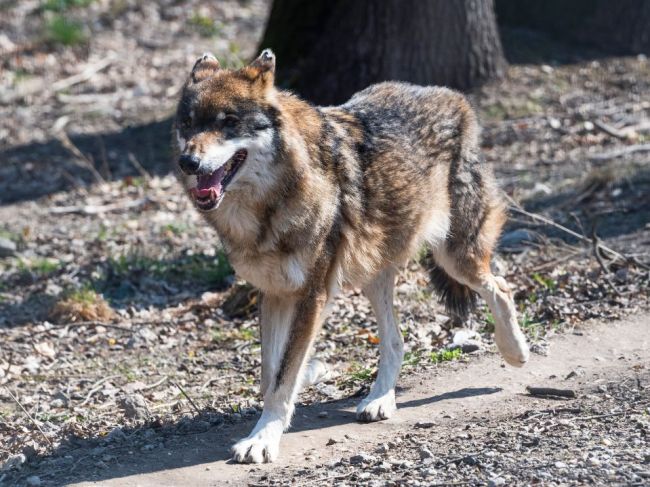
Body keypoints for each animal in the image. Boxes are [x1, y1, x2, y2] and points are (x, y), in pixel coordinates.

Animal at [172, 49, 528, 466]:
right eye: (188, 124)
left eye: (227, 123)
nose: (188, 162)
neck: (270, 206)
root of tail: (452, 97)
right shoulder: (274, 293)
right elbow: (270, 372)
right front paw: (305, 379)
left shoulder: (312, 295)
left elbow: (283, 375)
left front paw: (262, 440)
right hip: (372, 274)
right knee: (396, 342)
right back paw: (380, 400)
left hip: (454, 257)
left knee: (501, 287)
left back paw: (516, 351)